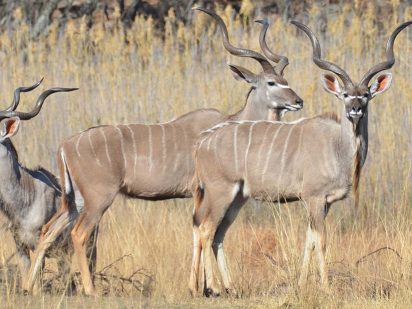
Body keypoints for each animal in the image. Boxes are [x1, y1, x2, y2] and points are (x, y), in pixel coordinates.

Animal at [25, 8, 302, 294]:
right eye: (271, 82)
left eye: (285, 80)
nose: (298, 101)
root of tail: (66, 145)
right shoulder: (200, 191)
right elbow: (202, 230)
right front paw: (202, 288)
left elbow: (200, 230)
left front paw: (204, 287)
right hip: (98, 198)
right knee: (79, 233)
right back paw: (91, 291)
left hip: (76, 199)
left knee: (48, 230)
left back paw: (30, 287)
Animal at [190, 19, 412, 296]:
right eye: (345, 94)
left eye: (366, 95)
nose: (355, 109)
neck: (338, 148)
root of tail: (201, 143)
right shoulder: (314, 198)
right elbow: (322, 240)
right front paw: (326, 288)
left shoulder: (324, 203)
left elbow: (309, 240)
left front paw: (302, 284)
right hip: (220, 191)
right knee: (206, 229)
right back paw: (212, 289)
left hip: (237, 197)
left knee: (218, 233)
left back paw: (229, 287)